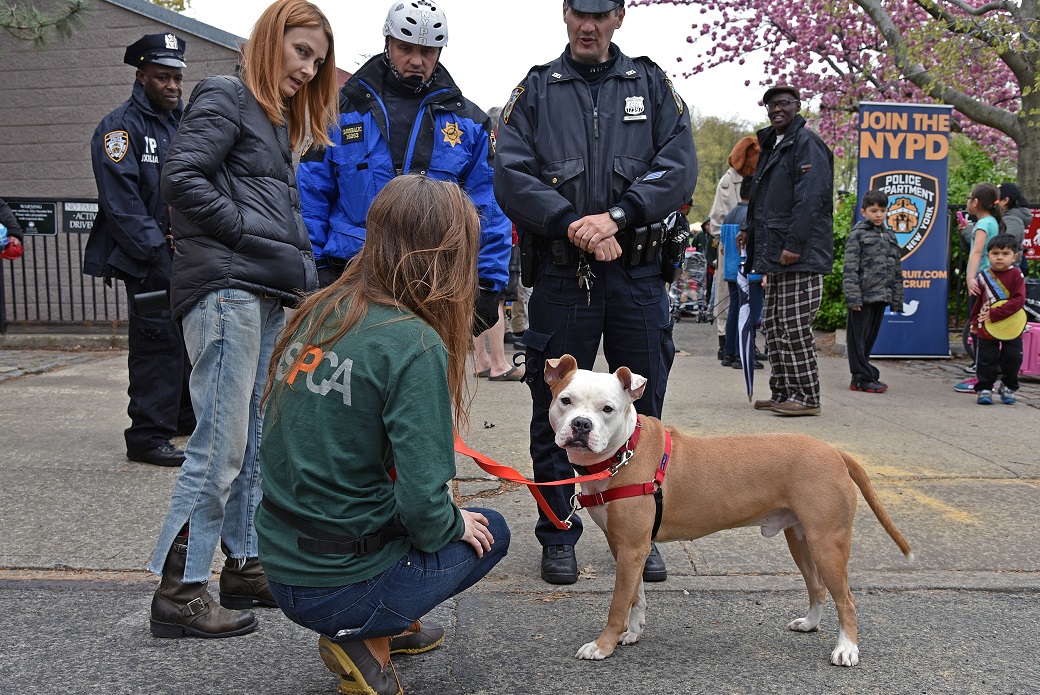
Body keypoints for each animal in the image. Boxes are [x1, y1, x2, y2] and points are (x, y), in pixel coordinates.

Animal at [544, 355, 911, 665]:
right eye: (566, 401)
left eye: (607, 409)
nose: (581, 424)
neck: (624, 452)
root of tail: (835, 452)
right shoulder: (625, 547)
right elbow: (636, 597)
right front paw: (633, 633)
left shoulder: (633, 548)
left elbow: (618, 603)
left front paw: (602, 646)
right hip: (802, 540)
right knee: (817, 586)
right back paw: (810, 623)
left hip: (827, 544)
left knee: (846, 598)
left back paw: (847, 649)